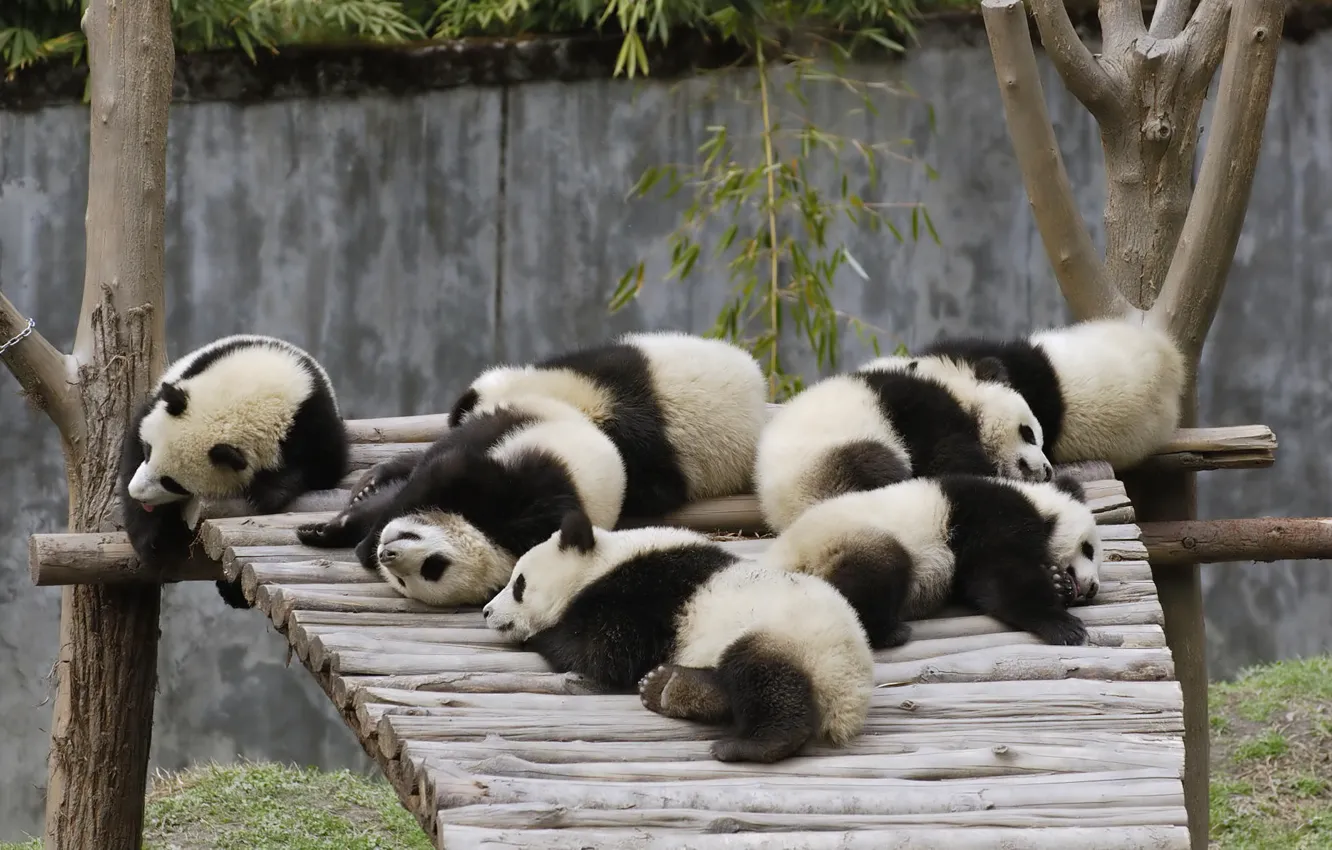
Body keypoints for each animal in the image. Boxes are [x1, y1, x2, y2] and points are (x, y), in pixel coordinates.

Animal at [119, 334, 349, 610]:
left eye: (172, 483)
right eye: (148, 450)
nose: (137, 492)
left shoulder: (311, 418)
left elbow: (324, 466)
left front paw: (267, 492)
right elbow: (133, 443)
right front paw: (153, 540)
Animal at [298, 394, 627, 608]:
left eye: (428, 571)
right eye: (435, 564)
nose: (386, 555)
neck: (496, 541)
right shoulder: (522, 499)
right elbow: (445, 470)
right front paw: (349, 536)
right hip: (519, 421)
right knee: (449, 445)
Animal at [482, 511, 874, 764]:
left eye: (519, 584)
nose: (486, 612)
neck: (603, 562)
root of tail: (850, 695)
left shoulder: (643, 594)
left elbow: (604, 652)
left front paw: (542, 636)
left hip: (793, 637)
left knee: (764, 675)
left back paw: (749, 744)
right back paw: (669, 688)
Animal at [754, 354, 1054, 532]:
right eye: (1028, 433)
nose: (1048, 470)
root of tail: (782, 513)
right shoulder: (921, 409)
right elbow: (949, 456)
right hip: (827, 462)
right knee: (874, 466)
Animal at [763, 472, 1103, 650]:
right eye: (1087, 549)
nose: (1093, 587)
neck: (1038, 503)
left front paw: (1058, 583)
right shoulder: (991, 517)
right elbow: (999, 575)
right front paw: (1064, 625)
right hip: (843, 541)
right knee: (877, 573)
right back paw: (889, 632)